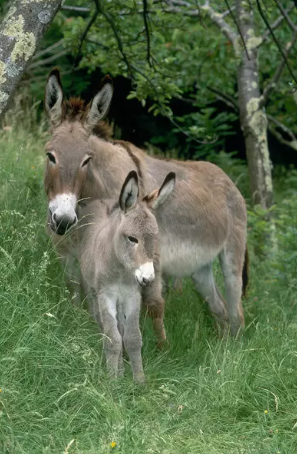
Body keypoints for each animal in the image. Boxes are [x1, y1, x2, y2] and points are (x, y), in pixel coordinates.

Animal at [79, 170, 176, 384]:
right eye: (132, 239)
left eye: (155, 237)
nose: (148, 279)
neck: (122, 272)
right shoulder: (106, 296)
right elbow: (112, 338)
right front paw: (112, 381)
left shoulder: (132, 296)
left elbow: (132, 337)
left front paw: (139, 381)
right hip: (94, 293)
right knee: (105, 325)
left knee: (122, 329)